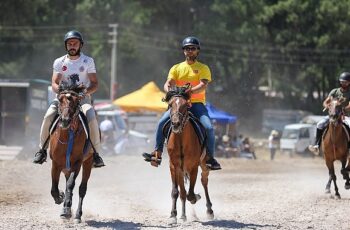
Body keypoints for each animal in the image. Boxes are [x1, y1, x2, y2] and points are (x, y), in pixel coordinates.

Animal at [49, 83, 93, 222]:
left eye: (76, 101)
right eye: (60, 100)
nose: (65, 120)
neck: (68, 135)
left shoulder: (77, 163)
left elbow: (70, 185)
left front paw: (67, 209)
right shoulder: (56, 163)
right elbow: (54, 188)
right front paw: (60, 198)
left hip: (88, 162)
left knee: (82, 188)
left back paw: (77, 214)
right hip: (65, 168)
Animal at [166, 85, 215, 224]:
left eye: (185, 105)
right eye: (170, 104)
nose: (175, 124)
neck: (181, 140)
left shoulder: (193, 167)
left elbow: (191, 194)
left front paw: (196, 197)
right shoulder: (174, 166)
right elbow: (177, 192)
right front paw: (173, 215)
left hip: (203, 165)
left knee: (204, 181)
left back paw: (209, 210)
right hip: (181, 170)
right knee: (183, 192)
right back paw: (184, 215)